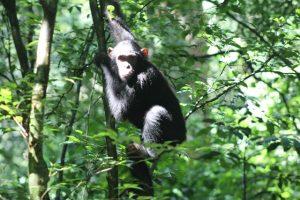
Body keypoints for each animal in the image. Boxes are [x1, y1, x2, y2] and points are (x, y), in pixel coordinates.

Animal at [95, 0, 186, 197]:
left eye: (131, 58)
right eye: (122, 58)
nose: (127, 66)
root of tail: (183, 139)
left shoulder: (145, 79)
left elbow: (121, 110)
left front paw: (104, 60)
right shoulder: (128, 40)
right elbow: (121, 28)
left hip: (172, 139)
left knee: (156, 113)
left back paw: (149, 153)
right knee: (132, 152)